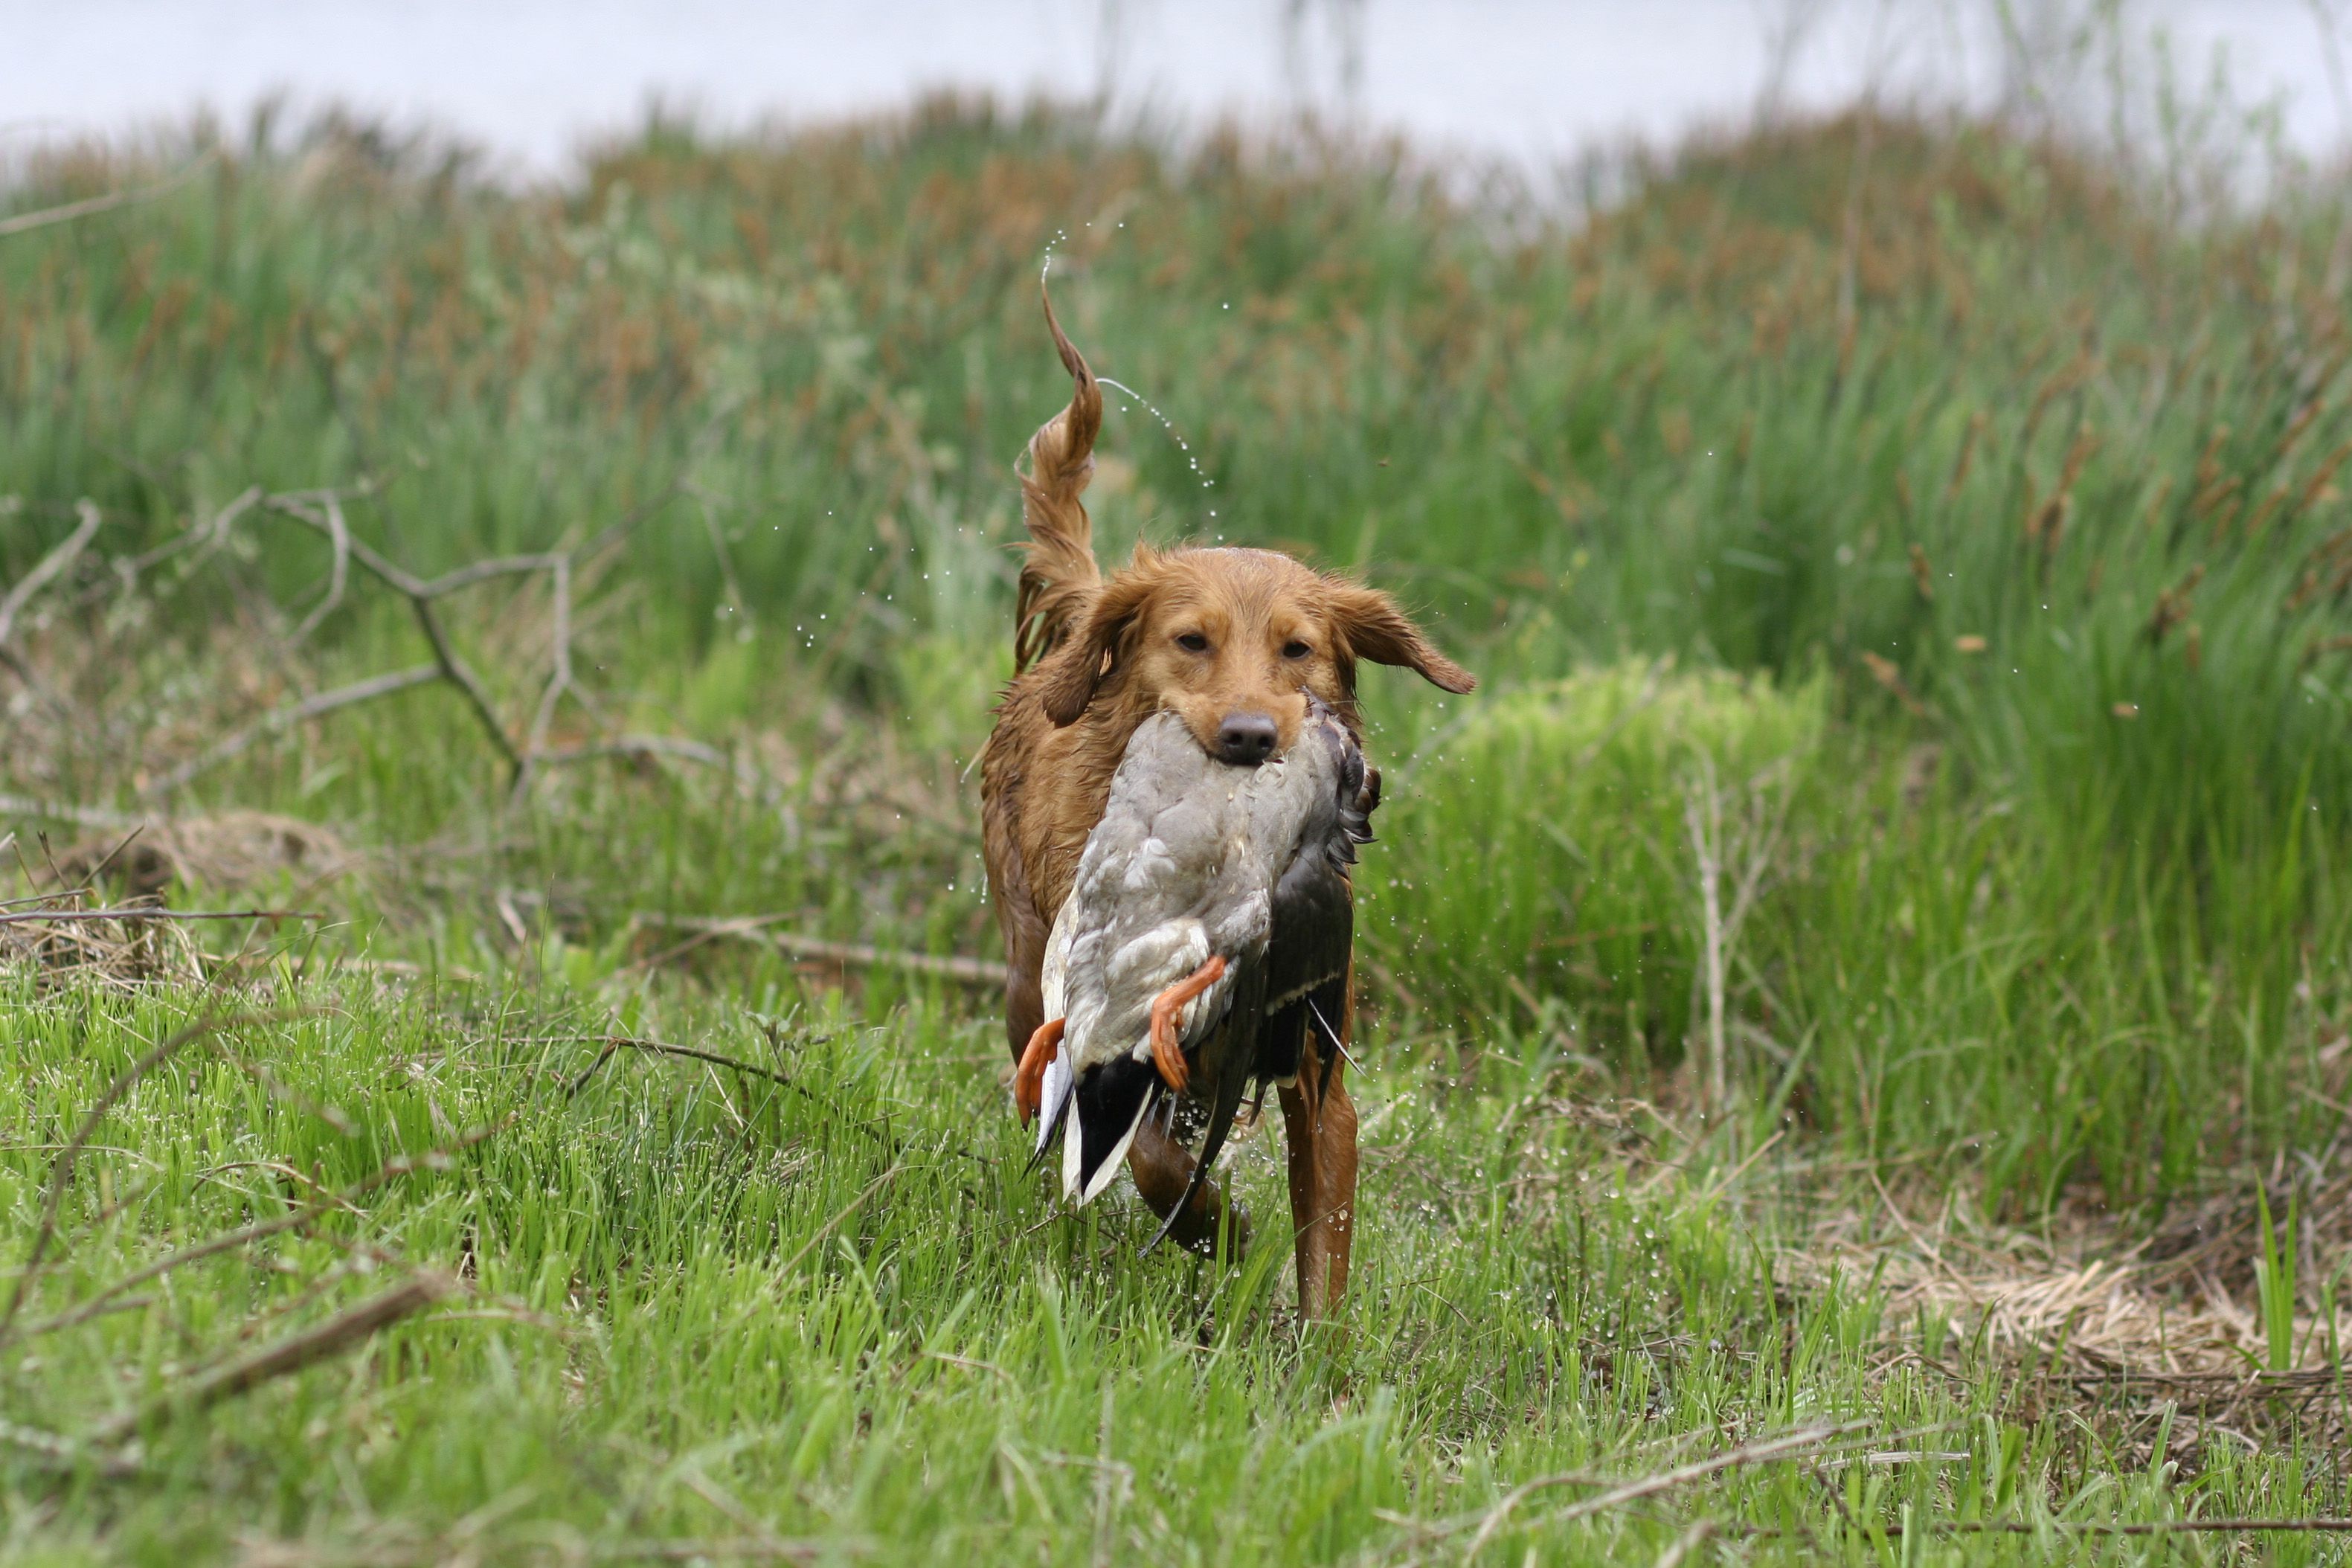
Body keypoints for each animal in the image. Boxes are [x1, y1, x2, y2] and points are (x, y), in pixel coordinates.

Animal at [978, 297, 1468, 1326]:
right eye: (1191, 640)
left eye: (1298, 647)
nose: (1250, 735)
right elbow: (1154, 1155)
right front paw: (1218, 1230)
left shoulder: (1319, 1071)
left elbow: (1323, 1243)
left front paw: (1316, 1353)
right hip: (1023, 973)